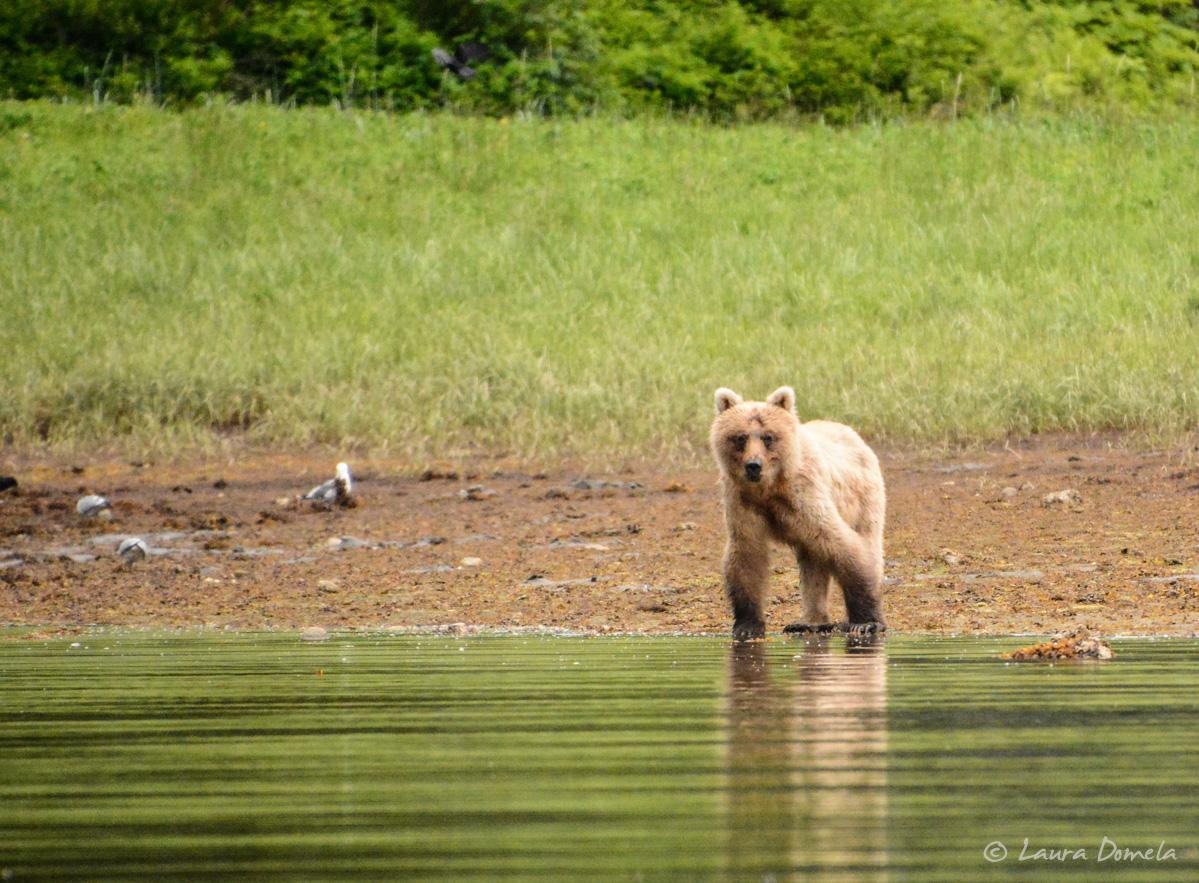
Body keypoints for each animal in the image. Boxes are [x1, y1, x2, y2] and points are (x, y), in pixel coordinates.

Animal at [705, 388, 887, 638]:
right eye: (741, 437)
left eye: (768, 437)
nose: (753, 465)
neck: (770, 487)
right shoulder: (743, 502)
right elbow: (746, 556)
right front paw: (747, 625)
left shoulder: (804, 495)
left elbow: (844, 545)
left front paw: (866, 621)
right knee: (813, 563)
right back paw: (809, 622)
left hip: (864, 498)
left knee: (866, 541)